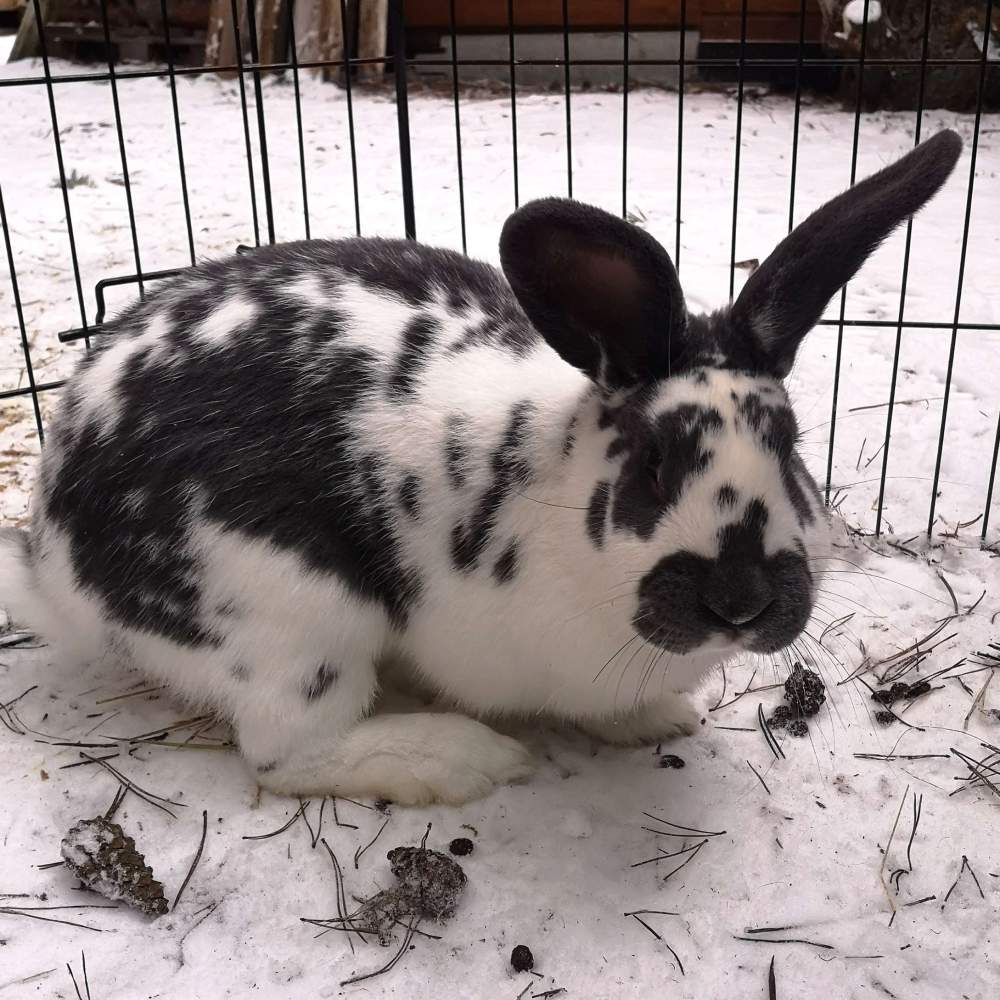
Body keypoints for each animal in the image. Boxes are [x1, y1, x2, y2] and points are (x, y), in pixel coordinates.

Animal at [0, 129, 961, 805]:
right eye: (653, 465)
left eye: (790, 444)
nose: (740, 600)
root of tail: (49, 555)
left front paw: (658, 717)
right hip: (290, 614)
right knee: (287, 753)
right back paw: (459, 759)